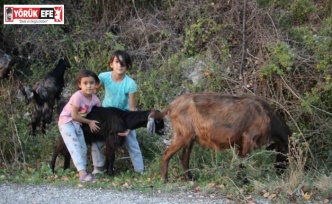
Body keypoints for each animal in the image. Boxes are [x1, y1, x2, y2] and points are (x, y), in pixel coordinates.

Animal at [160, 92, 290, 182]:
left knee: (184, 158)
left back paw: (190, 179)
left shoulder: (241, 144)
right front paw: (241, 180)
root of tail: (171, 106)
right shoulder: (248, 140)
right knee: (167, 153)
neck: (268, 117)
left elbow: (239, 161)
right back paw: (164, 179)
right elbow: (241, 162)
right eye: (286, 154)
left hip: (190, 138)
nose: (281, 172)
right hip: (183, 135)